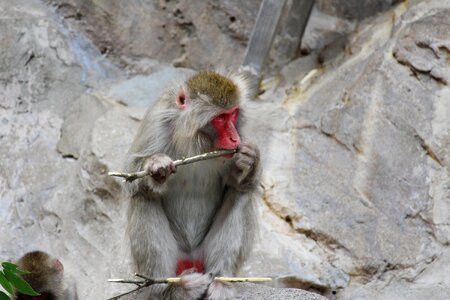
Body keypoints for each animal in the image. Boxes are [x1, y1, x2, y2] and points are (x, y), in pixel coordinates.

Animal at [125, 69, 262, 298]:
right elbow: (132, 177)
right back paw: (169, 289)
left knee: (241, 193)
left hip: (205, 255)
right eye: (220, 118)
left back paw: (221, 280)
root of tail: (191, 259)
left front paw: (249, 161)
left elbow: (236, 182)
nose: (235, 139)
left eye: (233, 114)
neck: (196, 140)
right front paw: (156, 167)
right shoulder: (156, 123)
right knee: (143, 197)